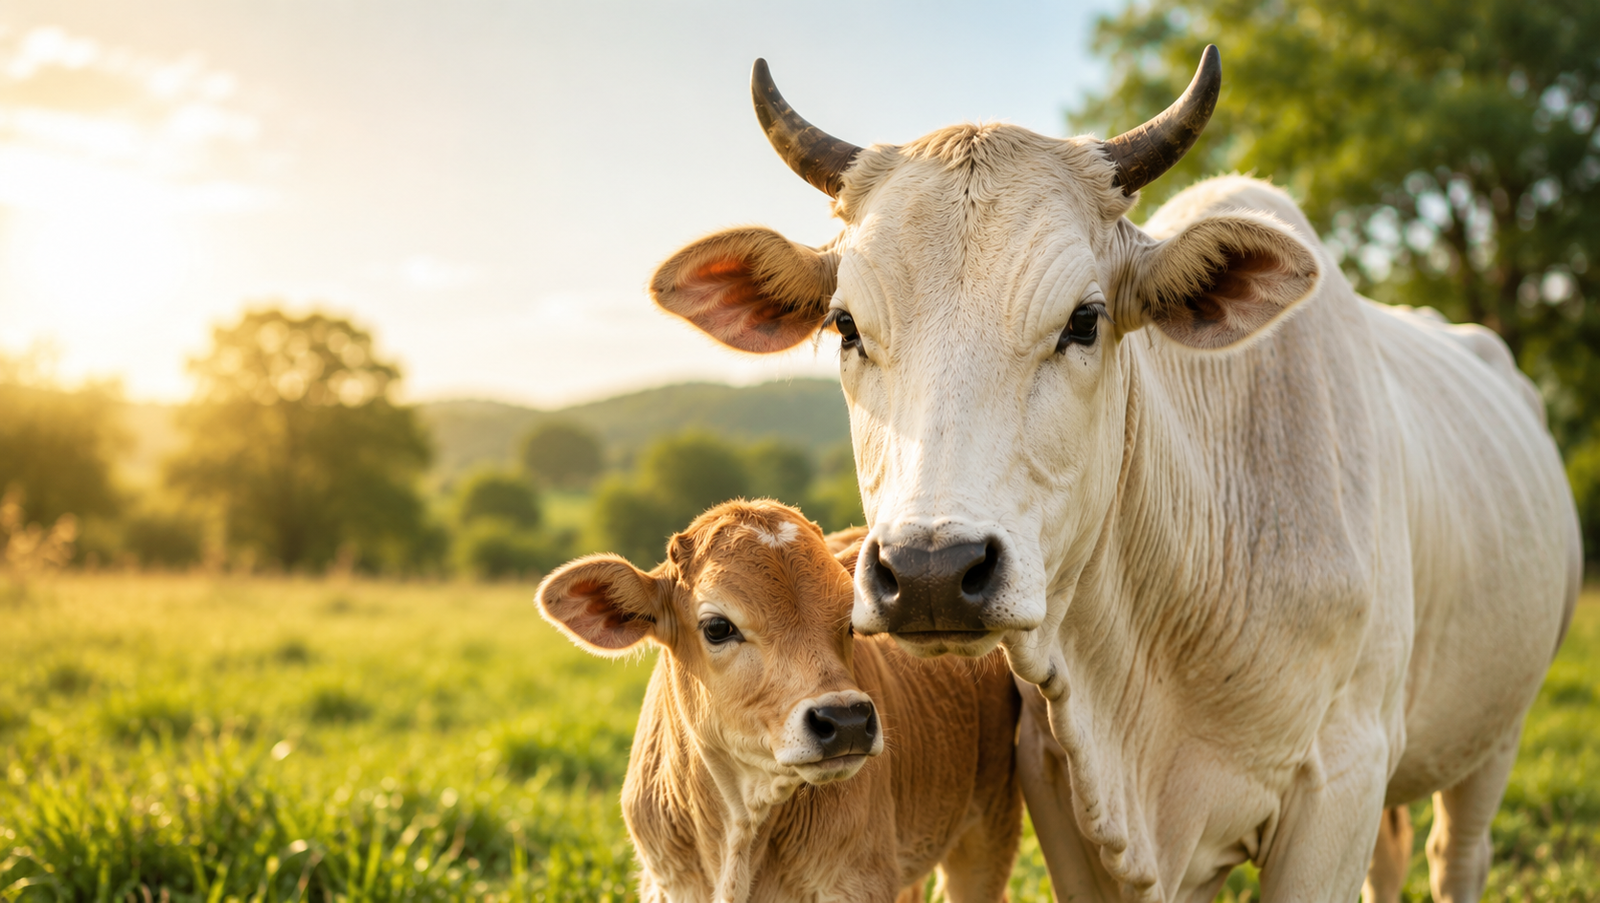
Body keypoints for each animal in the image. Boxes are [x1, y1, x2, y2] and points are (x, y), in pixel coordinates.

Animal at [646, 49, 1582, 903]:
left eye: (1084, 320)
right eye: (845, 324)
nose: (931, 572)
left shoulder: (1340, 784)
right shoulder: (1058, 780)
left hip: (1493, 734)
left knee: (1454, 855)